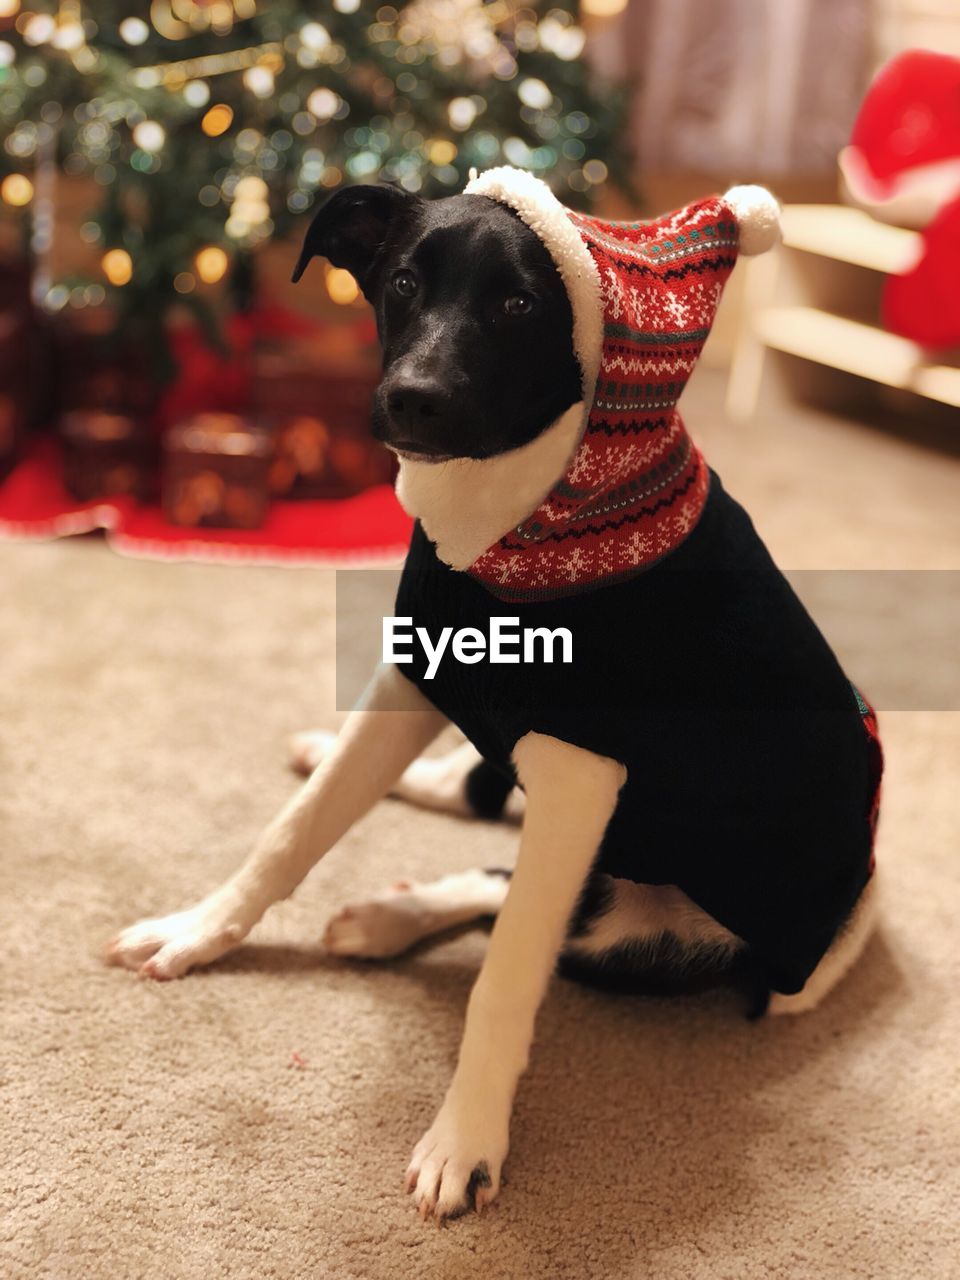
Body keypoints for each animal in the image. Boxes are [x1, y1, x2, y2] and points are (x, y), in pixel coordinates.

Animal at [106, 167, 885, 1218]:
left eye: (519, 306)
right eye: (401, 283)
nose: (410, 399)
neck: (517, 522)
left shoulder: (580, 775)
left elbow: (508, 970)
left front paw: (464, 1142)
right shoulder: (420, 666)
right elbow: (295, 830)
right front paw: (198, 932)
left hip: (647, 933)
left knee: (516, 892)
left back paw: (393, 913)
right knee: (478, 826)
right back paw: (377, 884)